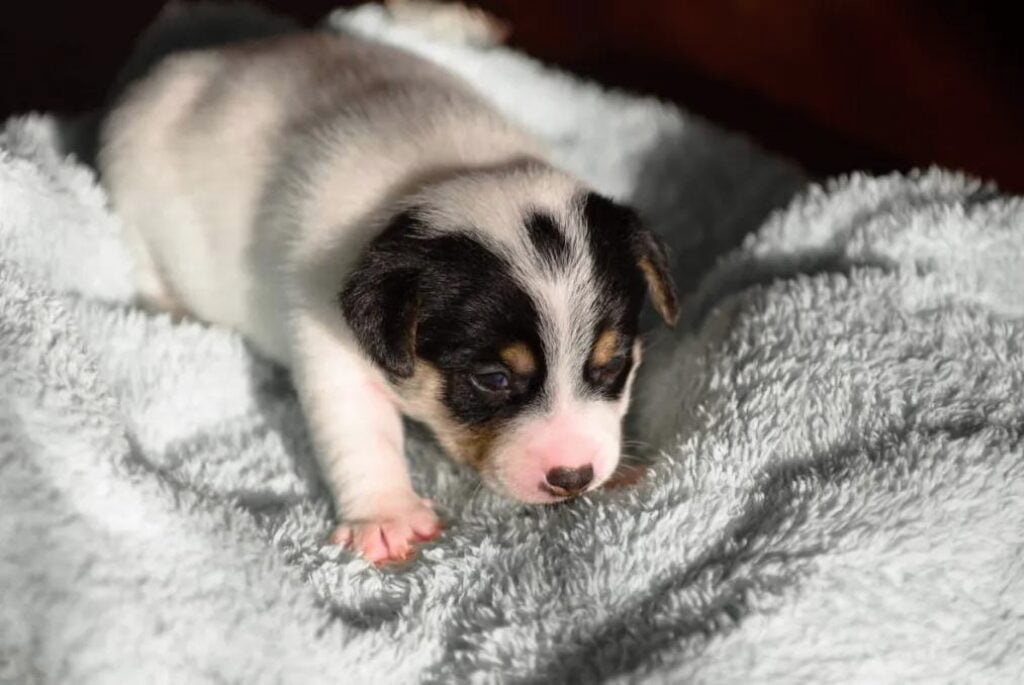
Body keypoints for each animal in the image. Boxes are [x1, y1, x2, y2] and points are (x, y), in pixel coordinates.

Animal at [97, 3, 679, 561]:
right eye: (492, 379)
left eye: (614, 362)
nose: (573, 477)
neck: (443, 174)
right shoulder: (329, 347)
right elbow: (360, 432)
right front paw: (385, 514)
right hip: (130, 186)